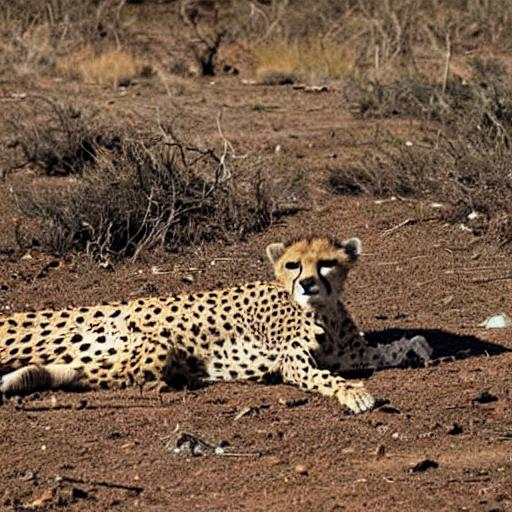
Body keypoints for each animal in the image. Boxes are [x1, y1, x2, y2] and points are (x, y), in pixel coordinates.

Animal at [0, 238, 430, 414]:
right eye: (293, 265)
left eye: (326, 263)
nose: (308, 283)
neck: (324, 309)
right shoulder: (294, 362)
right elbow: (327, 377)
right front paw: (354, 394)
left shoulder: (345, 354)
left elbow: (379, 352)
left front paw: (415, 346)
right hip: (136, 345)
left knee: (82, 372)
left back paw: (18, 380)